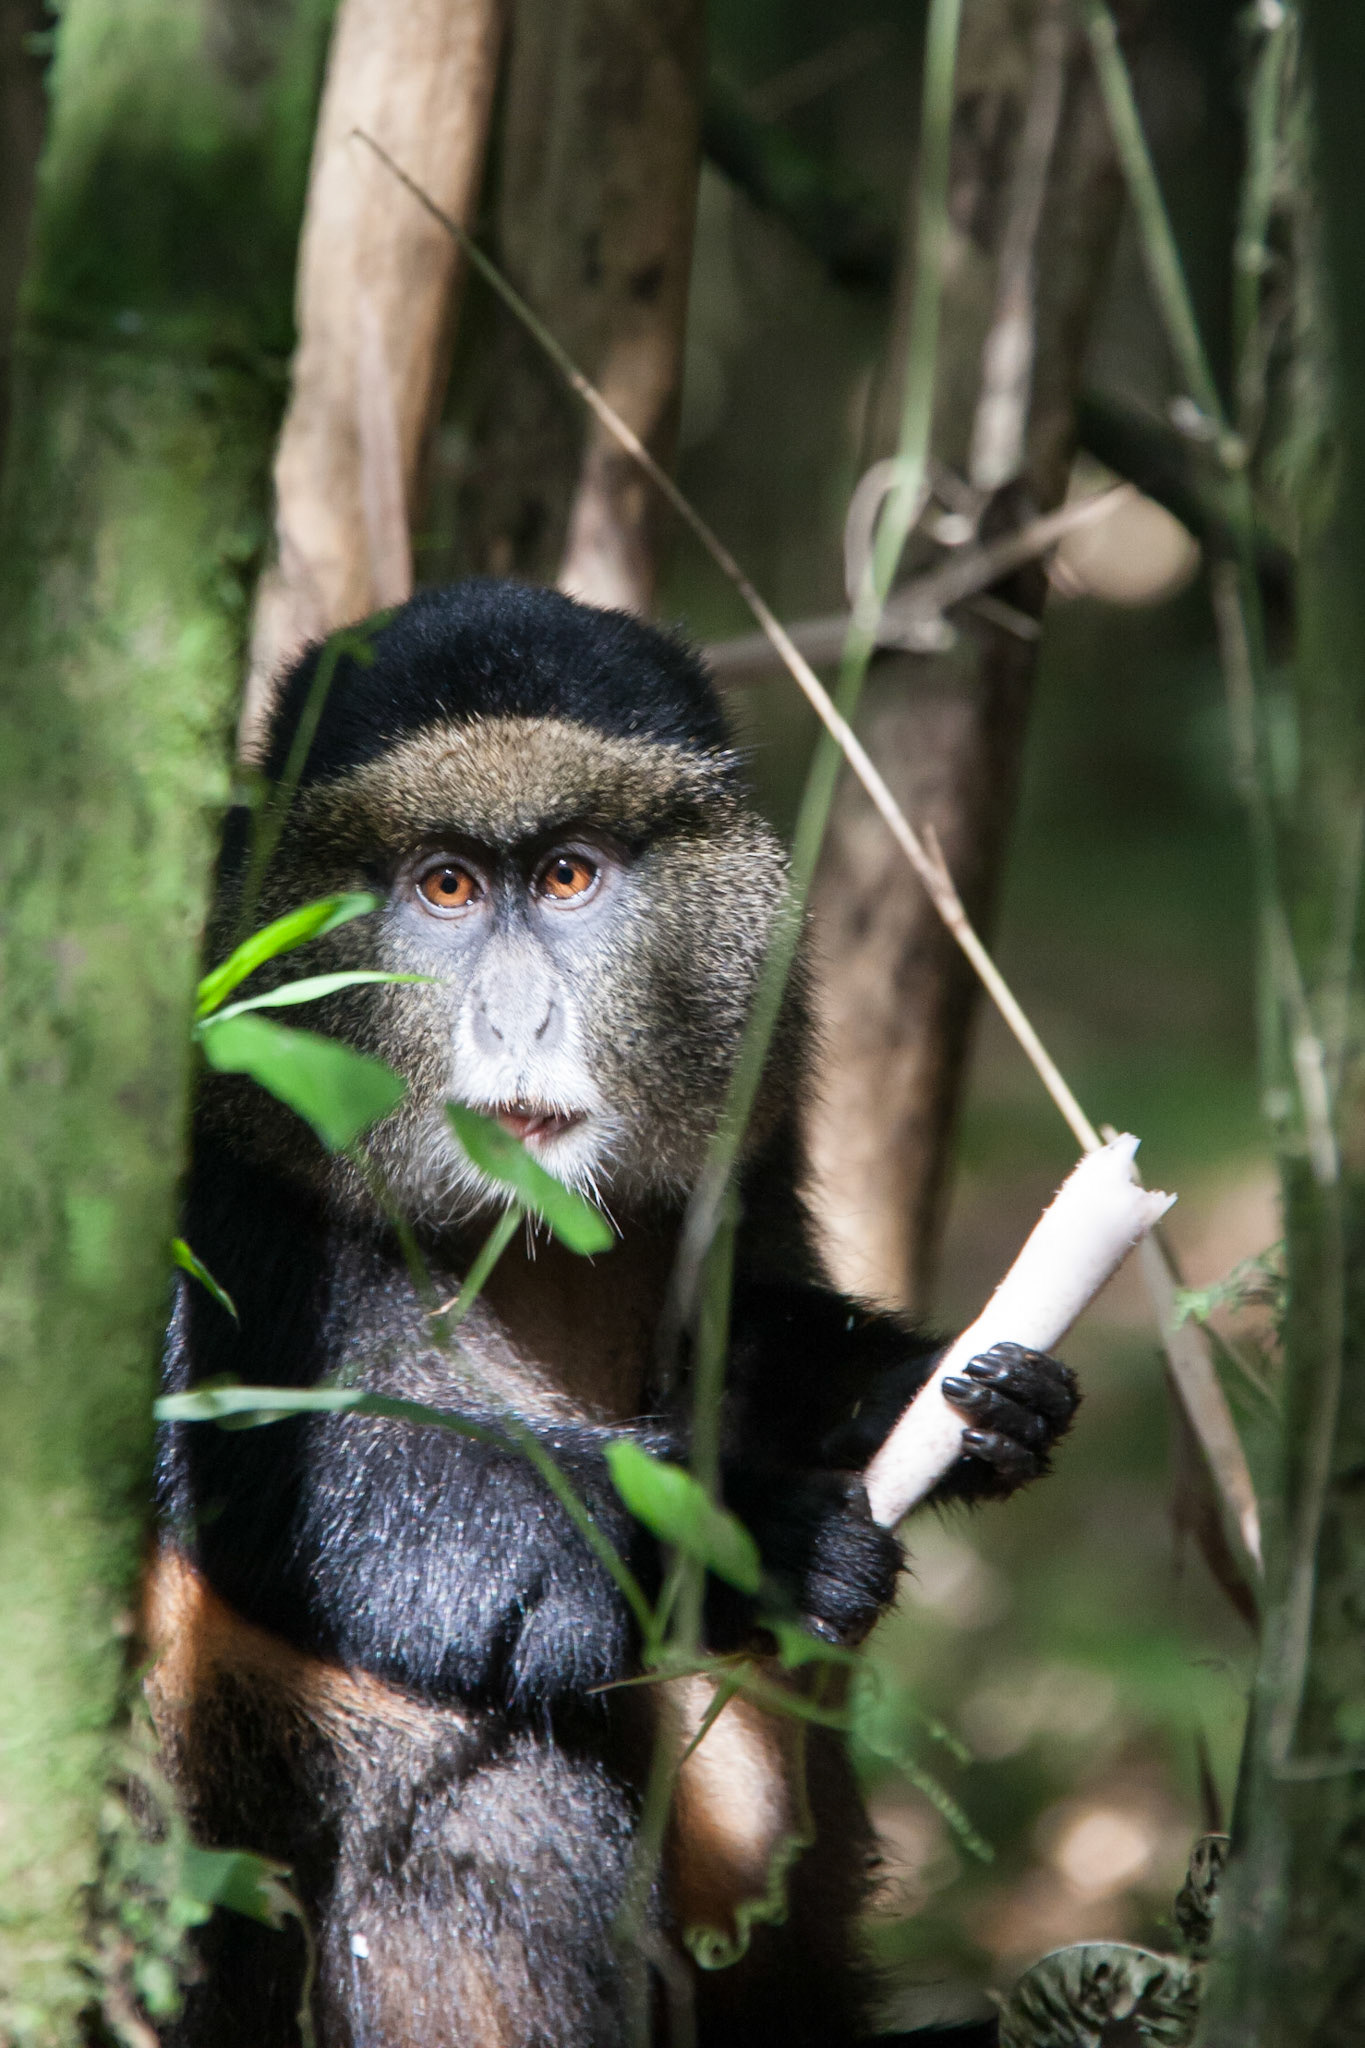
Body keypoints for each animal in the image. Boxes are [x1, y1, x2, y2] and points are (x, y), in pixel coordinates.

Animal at [147, 578, 1078, 2048]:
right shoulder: (209, 1144)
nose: (520, 1018)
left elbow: (755, 1337)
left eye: (570, 876)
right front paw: (748, 1542)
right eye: (446, 885)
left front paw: (948, 1398)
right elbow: (300, 1457)